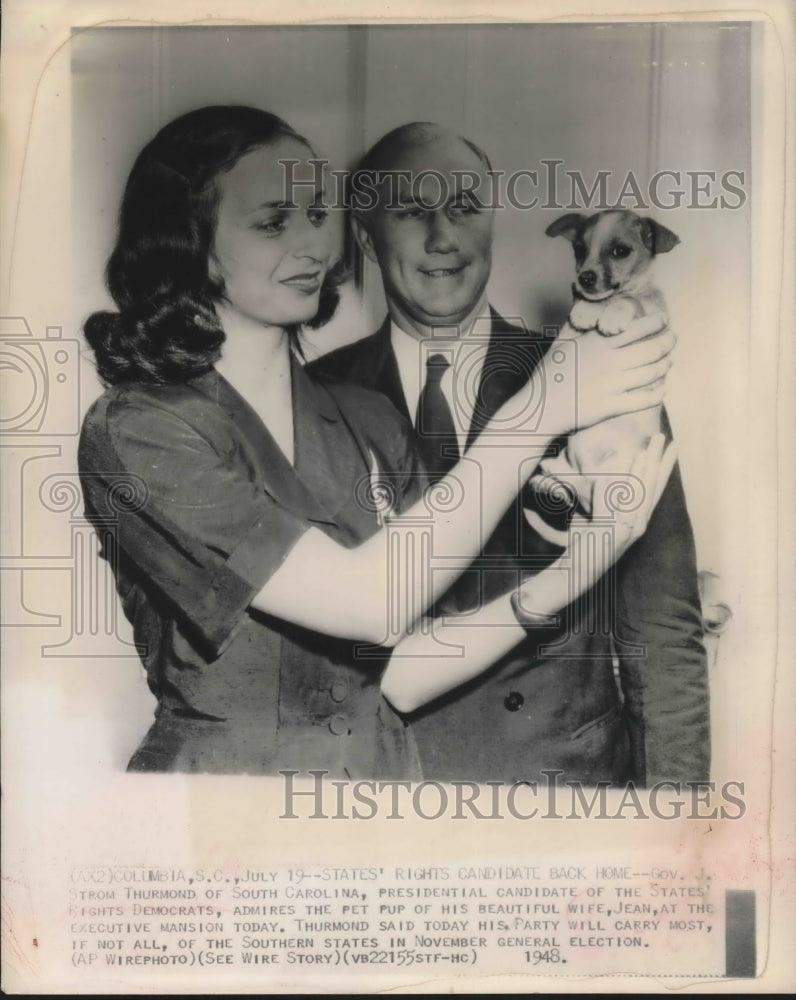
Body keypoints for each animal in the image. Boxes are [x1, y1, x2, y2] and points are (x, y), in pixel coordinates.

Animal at [528, 210, 676, 548]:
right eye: (579, 249)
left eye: (620, 251)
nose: (585, 277)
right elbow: (590, 303)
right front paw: (585, 310)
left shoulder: (651, 317)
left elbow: (629, 302)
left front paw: (612, 314)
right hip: (570, 454)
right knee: (568, 485)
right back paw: (548, 480)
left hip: (615, 475)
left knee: (582, 489)